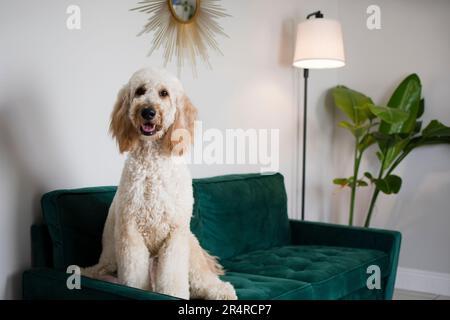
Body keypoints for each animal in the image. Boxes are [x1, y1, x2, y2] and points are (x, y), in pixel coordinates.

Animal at [85, 67, 239, 300]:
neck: (153, 165)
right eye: (140, 91)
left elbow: (173, 279)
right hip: (110, 263)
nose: (148, 111)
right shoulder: (131, 234)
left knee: (208, 282)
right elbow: (134, 278)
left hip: (191, 254)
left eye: (164, 93)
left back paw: (223, 292)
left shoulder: (175, 235)